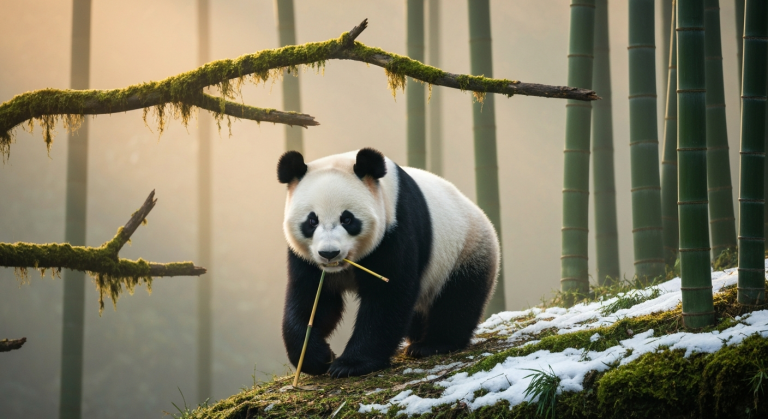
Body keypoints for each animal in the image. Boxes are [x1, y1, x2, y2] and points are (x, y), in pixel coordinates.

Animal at [277, 148, 500, 378]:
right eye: (312, 221)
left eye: (347, 219)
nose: (329, 253)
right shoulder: (306, 259)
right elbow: (312, 299)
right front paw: (317, 357)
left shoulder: (395, 228)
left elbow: (387, 296)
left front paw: (350, 364)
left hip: (465, 251)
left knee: (457, 300)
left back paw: (431, 345)